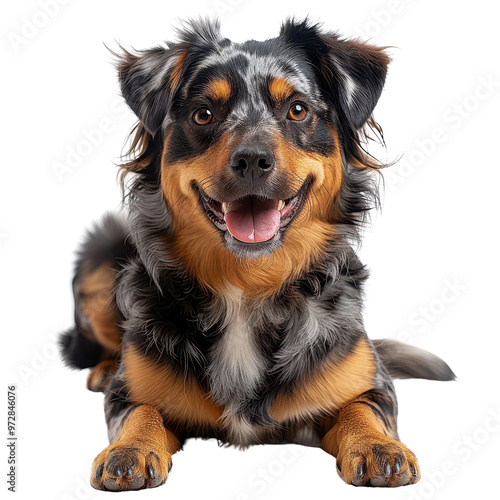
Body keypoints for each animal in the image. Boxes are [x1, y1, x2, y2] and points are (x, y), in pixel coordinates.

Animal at [58, 18, 454, 488]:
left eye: (298, 109)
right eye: (204, 114)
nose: (252, 159)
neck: (247, 283)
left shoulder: (371, 382)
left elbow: (364, 407)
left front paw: (378, 446)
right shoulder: (129, 393)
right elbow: (141, 410)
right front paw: (128, 450)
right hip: (98, 261)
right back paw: (103, 367)